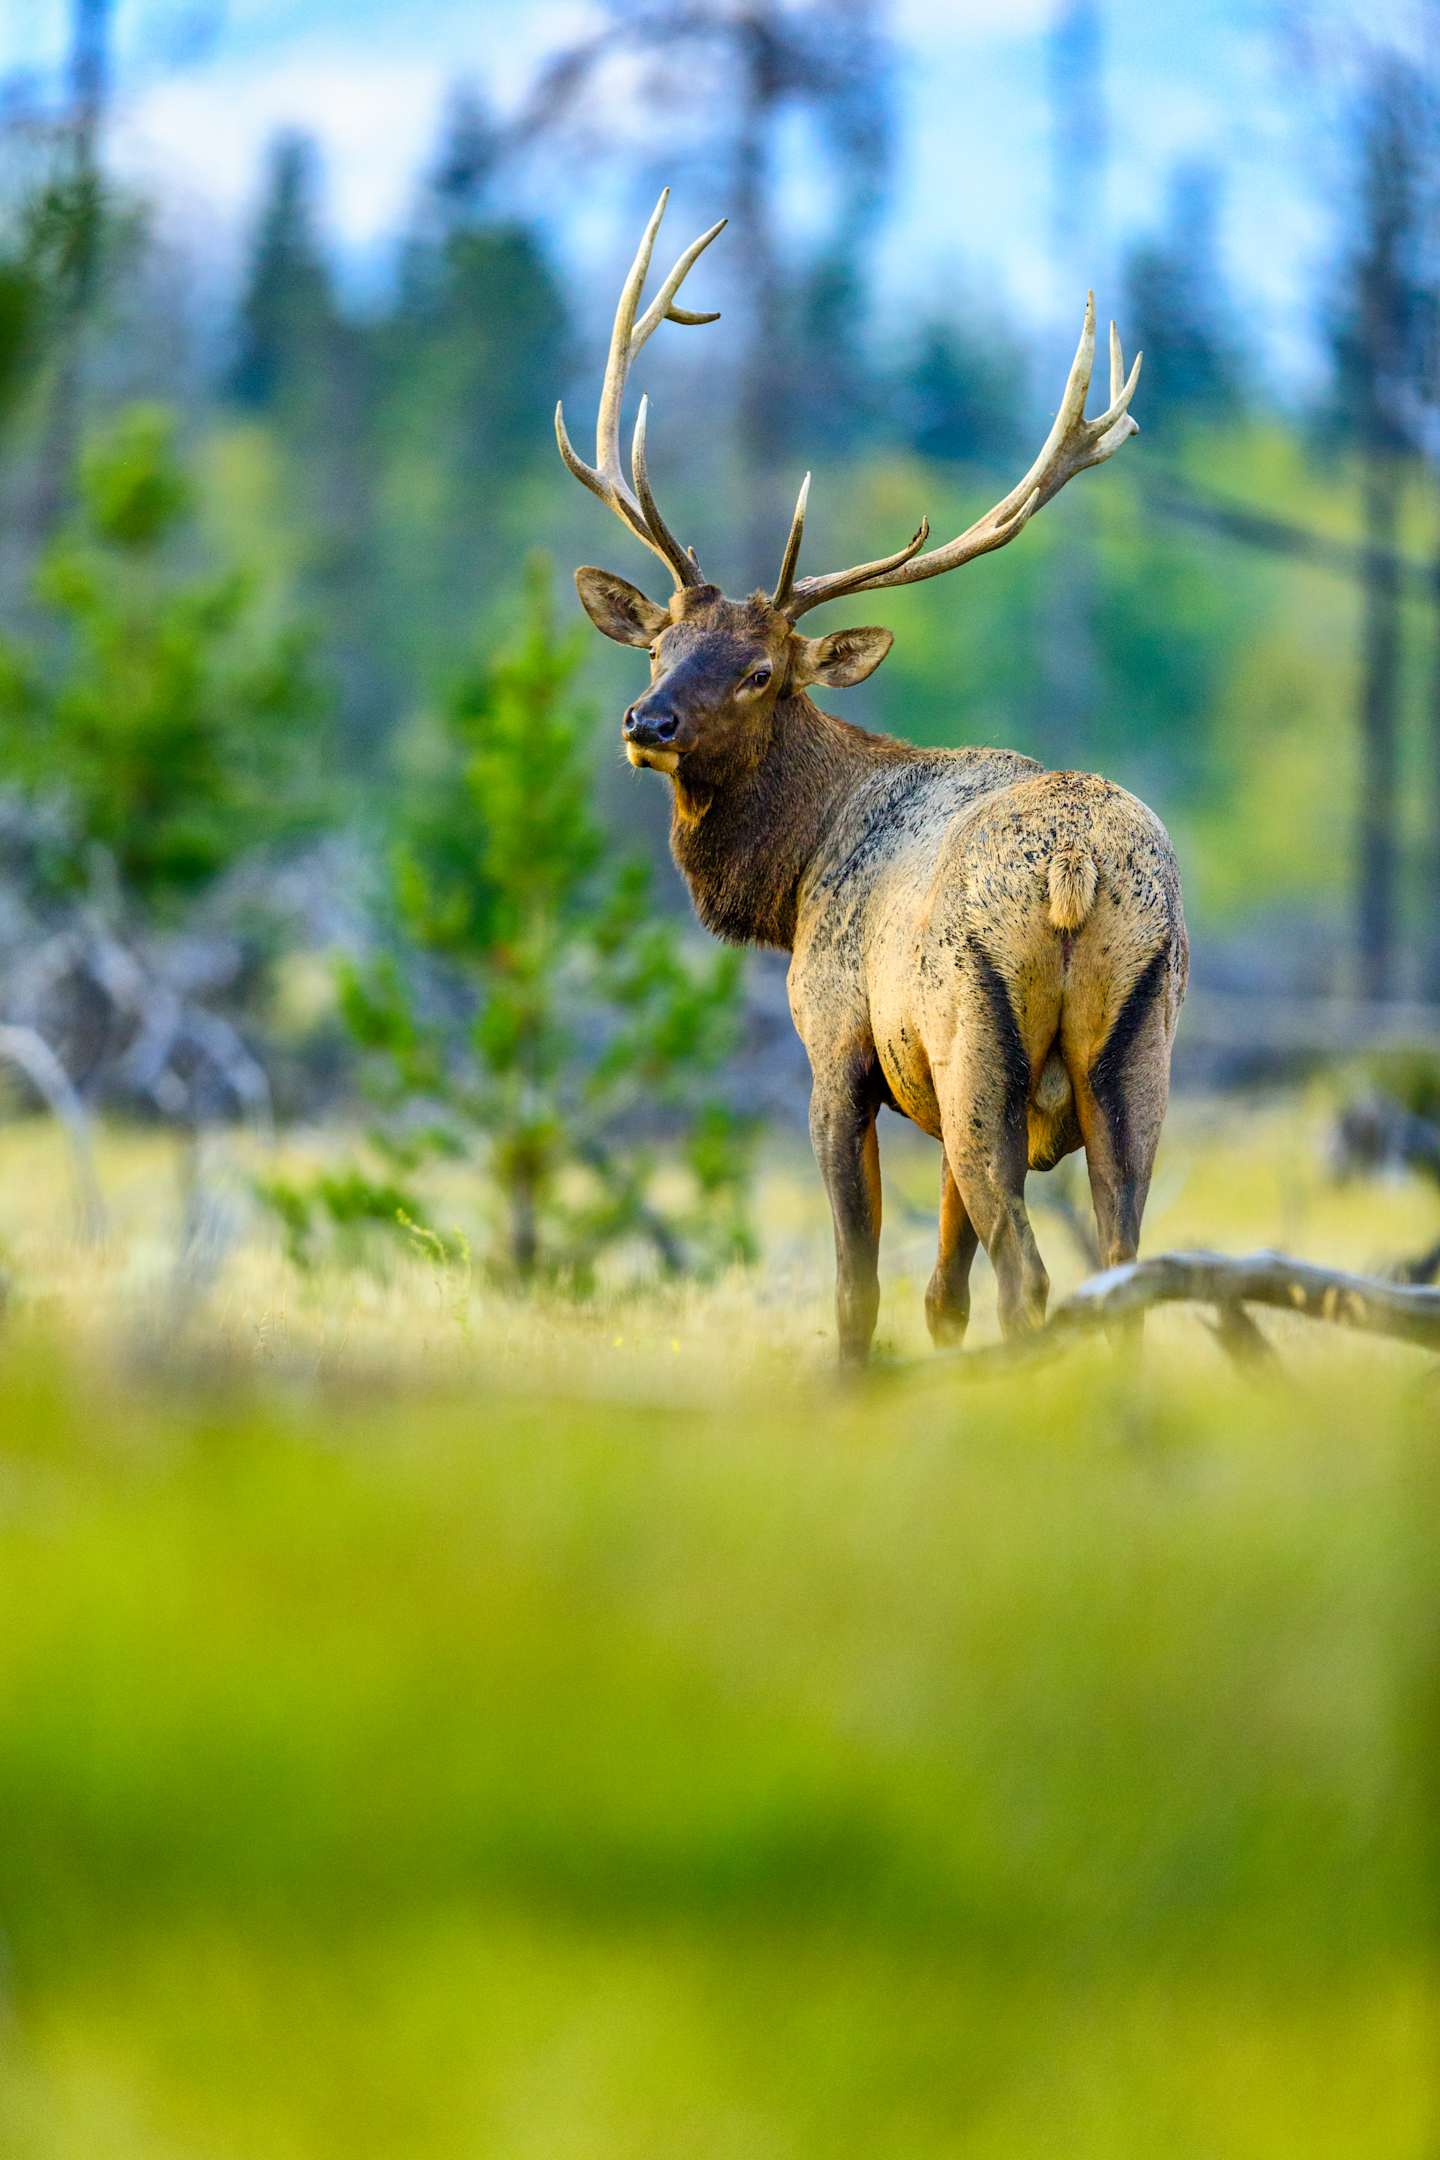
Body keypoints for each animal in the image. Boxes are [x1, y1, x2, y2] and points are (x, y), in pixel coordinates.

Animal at [557, 190, 1187, 1366]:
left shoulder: (840, 1051)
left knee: (1031, 1274)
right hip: (1136, 1053)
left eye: (761, 671)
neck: (795, 881)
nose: (646, 722)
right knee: (1123, 1266)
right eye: (659, 644)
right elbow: (940, 1292)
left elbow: (859, 1282)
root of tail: (1074, 869)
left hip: (976, 1041)